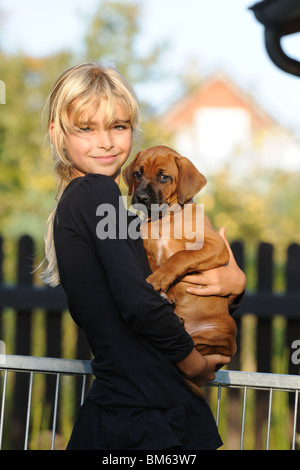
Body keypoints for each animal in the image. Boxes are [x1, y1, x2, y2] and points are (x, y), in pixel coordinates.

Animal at [122, 147, 237, 390]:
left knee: (200, 348)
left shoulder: (216, 246)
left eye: (164, 177)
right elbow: (154, 264)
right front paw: (165, 288)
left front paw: (159, 281)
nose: (141, 198)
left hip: (224, 330)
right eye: (137, 173)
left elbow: (180, 256)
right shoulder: (146, 250)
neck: (164, 220)